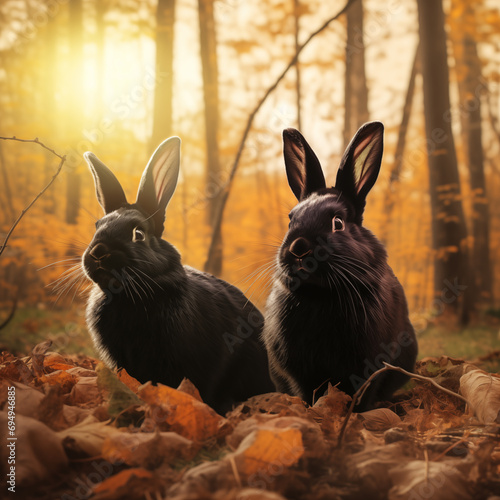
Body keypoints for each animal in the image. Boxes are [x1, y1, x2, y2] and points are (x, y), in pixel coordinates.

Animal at [262, 122, 418, 410]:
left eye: (338, 223)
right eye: (291, 220)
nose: (298, 248)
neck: (320, 294)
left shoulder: (369, 363)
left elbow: (363, 390)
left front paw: (356, 413)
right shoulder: (299, 370)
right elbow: (307, 391)